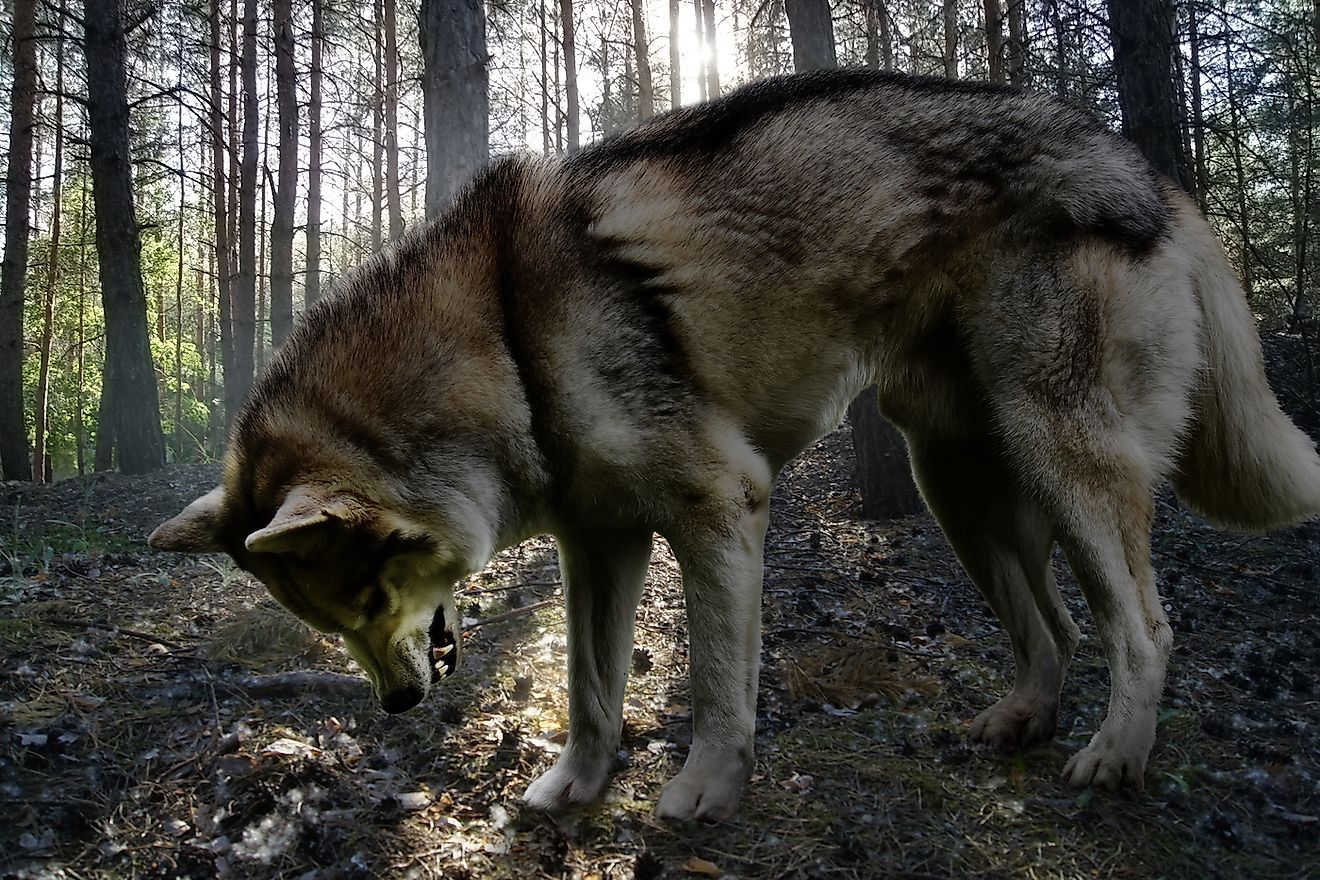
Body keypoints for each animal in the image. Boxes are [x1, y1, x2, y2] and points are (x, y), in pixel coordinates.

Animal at [149, 68, 1320, 817]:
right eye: (329, 620)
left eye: (365, 595)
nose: (395, 705)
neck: (504, 338)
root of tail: (1147, 168)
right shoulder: (600, 546)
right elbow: (591, 690)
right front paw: (575, 791)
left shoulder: (722, 509)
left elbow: (715, 685)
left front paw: (705, 790)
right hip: (957, 482)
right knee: (1058, 632)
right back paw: (1023, 723)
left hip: (1061, 459)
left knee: (1145, 629)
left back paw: (1114, 757)